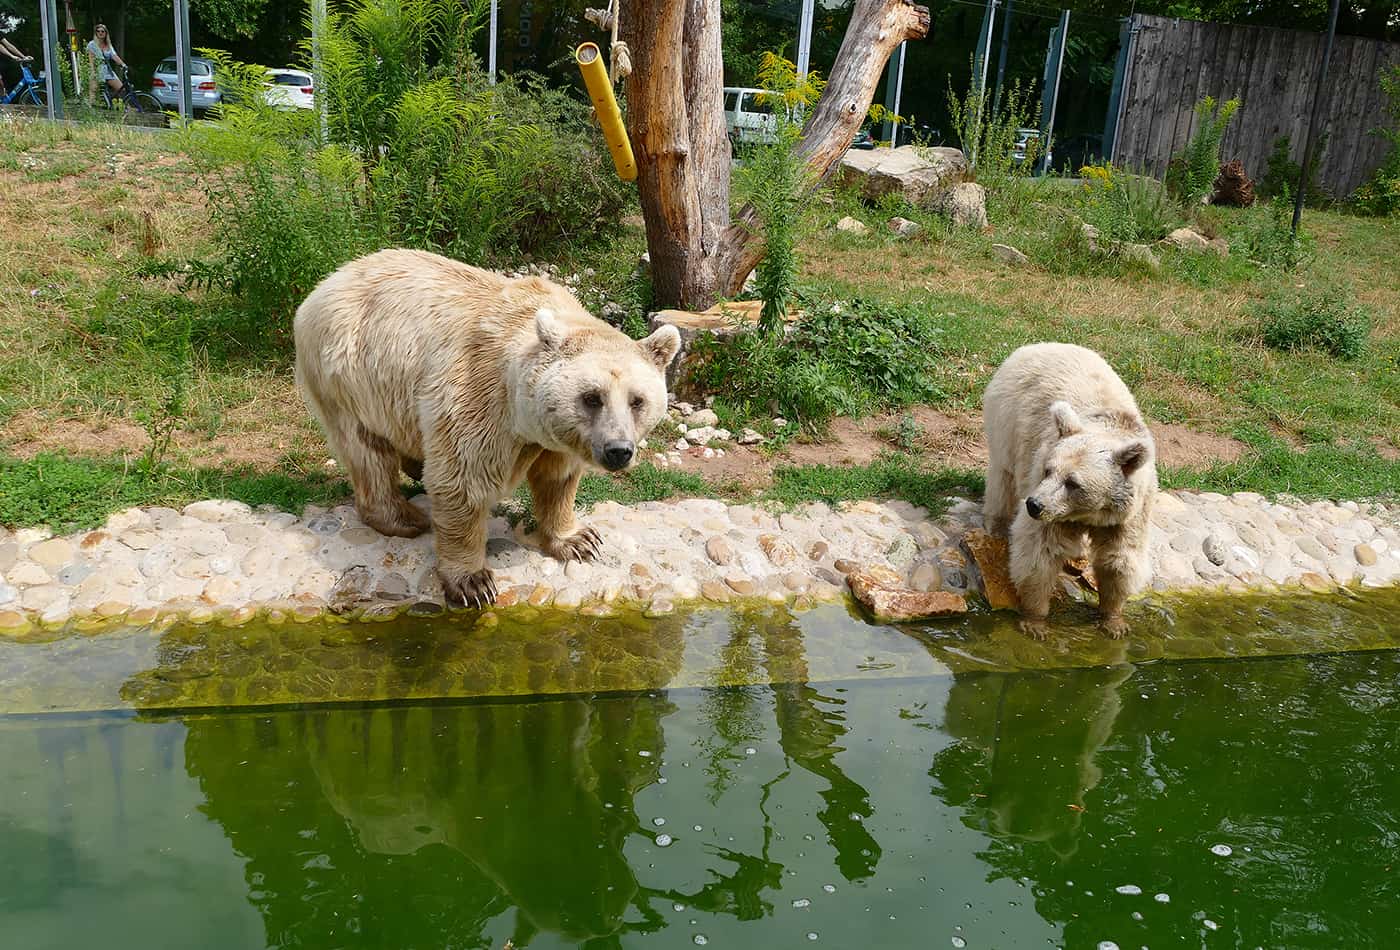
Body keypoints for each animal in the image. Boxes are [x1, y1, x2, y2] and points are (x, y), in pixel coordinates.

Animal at [296, 249, 683, 604]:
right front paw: (473, 581)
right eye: (592, 397)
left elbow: (557, 479)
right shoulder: (479, 398)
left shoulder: (557, 439)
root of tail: (328, 282)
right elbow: (463, 482)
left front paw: (579, 539)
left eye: (637, 400)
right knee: (367, 450)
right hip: (350, 374)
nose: (618, 451)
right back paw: (404, 517)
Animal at [980, 341, 1153, 637]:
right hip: (1008, 420)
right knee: (1003, 478)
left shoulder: (1130, 513)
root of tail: (1039, 345)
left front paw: (1114, 621)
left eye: (1073, 482)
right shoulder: (1051, 509)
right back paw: (997, 526)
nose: (1033, 504)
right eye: (1048, 470)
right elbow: (1040, 553)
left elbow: (1119, 560)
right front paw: (1035, 620)